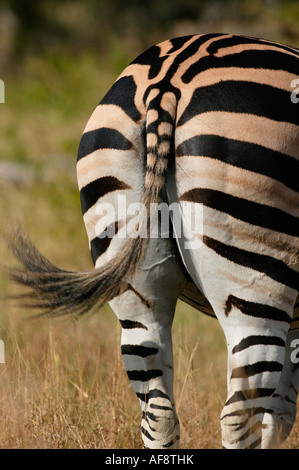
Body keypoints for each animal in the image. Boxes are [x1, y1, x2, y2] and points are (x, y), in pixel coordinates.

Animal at [6, 32, 299, 448]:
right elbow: (278, 415)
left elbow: (280, 415)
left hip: (134, 285)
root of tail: (169, 78)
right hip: (256, 284)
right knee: (239, 414)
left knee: (157, 411)